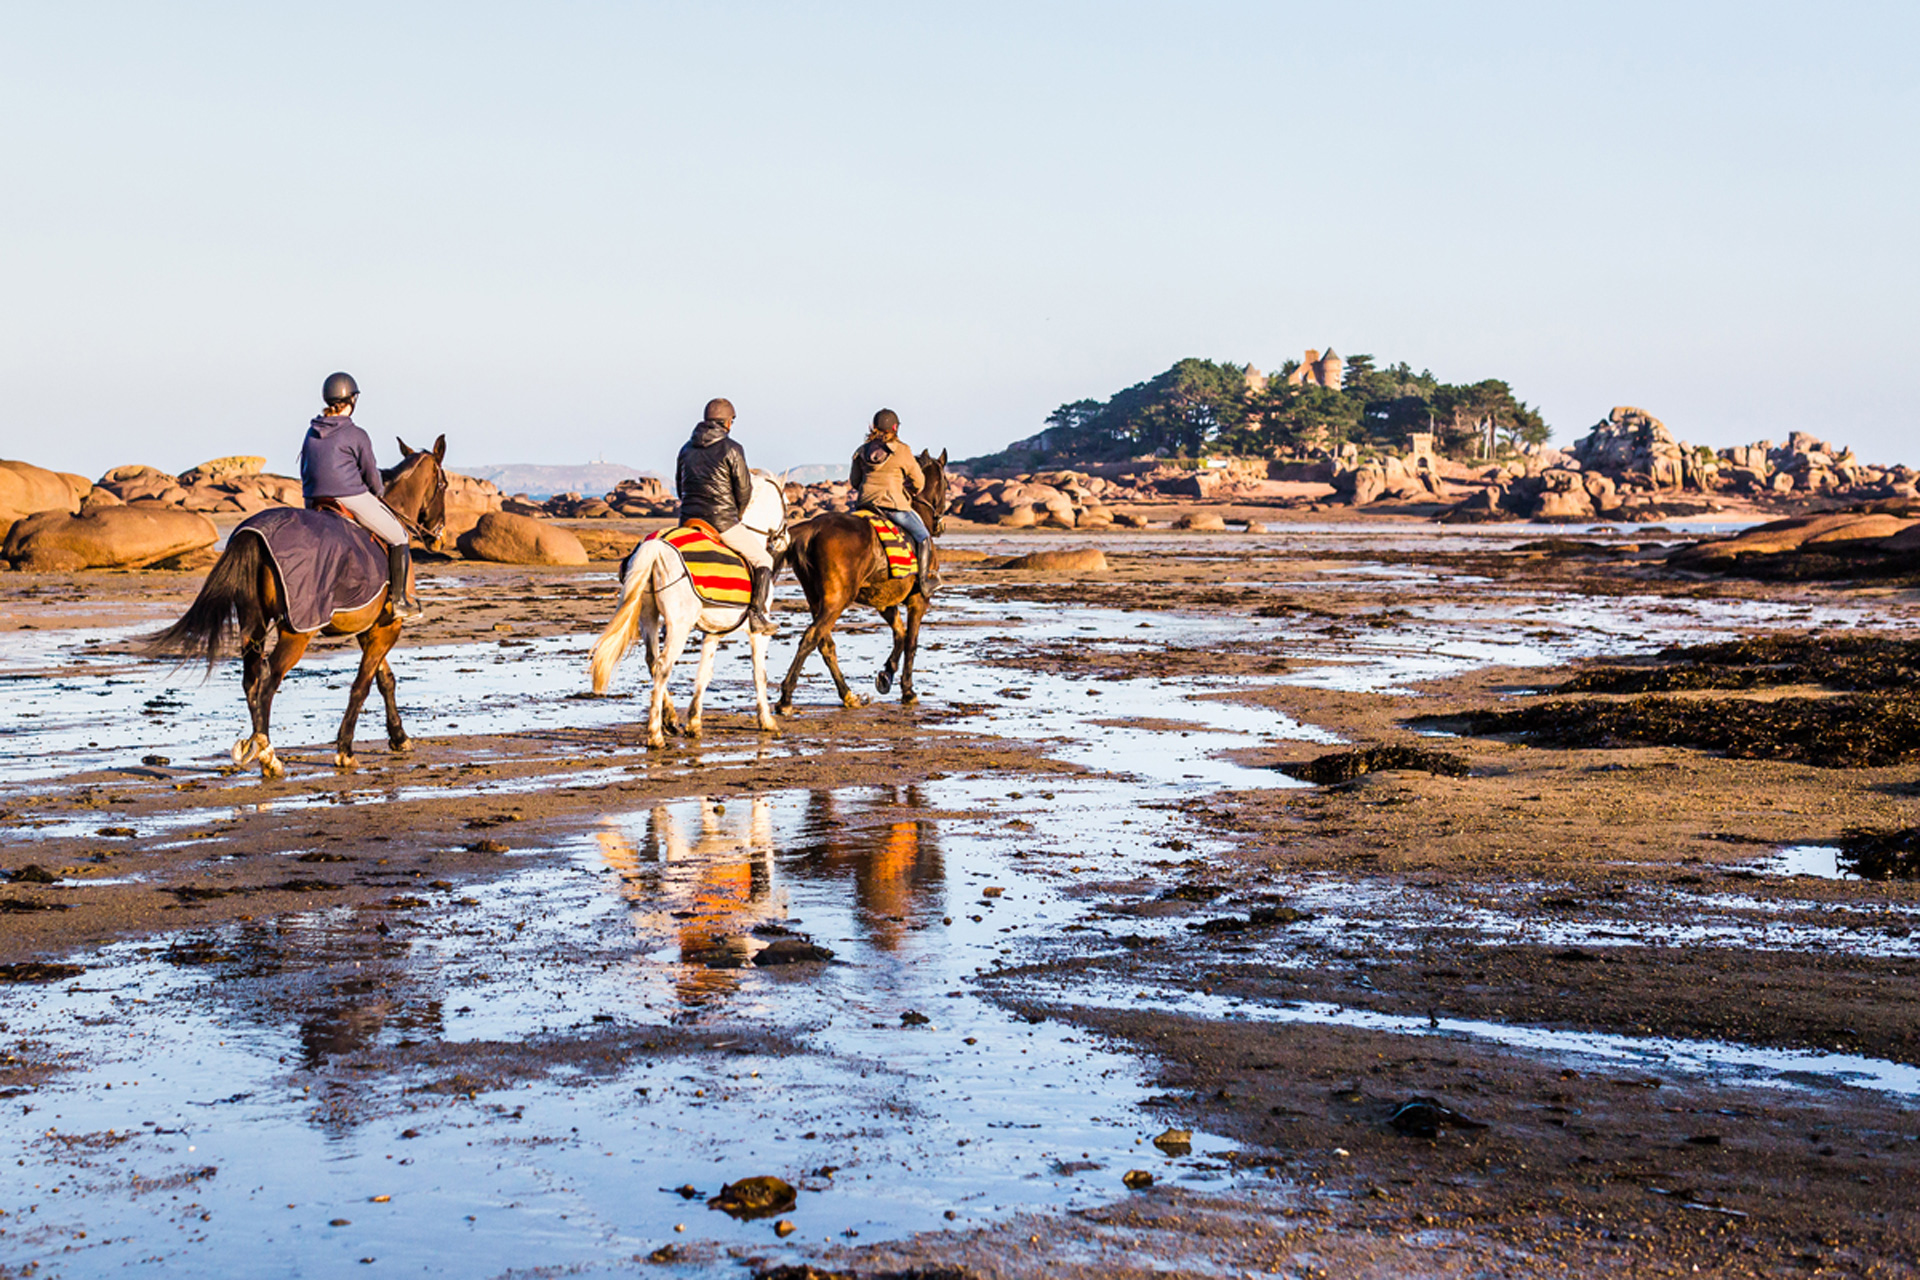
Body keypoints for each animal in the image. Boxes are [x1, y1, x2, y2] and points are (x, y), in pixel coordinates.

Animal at [148, 437, 449, 782]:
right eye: (444, 485)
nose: (438, 539)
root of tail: (252, 534)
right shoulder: (386, 628)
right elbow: (361, 686)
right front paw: (345, 750)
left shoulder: (369, 629)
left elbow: (384, 680)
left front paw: (399, 737)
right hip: (296, 633)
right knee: (269, 679)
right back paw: (269, 757)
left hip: (254, 626)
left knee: (251, 679)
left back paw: (259, 746)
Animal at [587, 475, 791, 744]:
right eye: (786, 503)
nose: (786, 539)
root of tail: (657, 545)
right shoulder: (758, 633)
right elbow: (760, 674)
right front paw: (766, 721)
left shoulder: (713, 632)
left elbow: (704, 673)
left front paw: (694, 723)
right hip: (679, 625)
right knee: (663, 665)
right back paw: (655, 734)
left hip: (648, 616)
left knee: (652, 661)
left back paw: (671, 719)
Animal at [768, 449, 940, 710]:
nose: (940, 524)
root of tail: (812, 528)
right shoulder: (918, 600)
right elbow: (911, 642)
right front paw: (908, 691)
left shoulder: (884, 602)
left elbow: (899, 635)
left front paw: (886, 675)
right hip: (836, 600)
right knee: (811, 638)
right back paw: (786, 698)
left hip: (816, 599)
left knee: (825, 644)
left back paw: (848, 695)